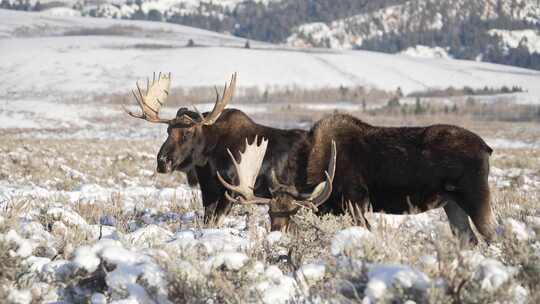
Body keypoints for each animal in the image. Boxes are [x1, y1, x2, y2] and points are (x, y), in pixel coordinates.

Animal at [124, 72, 306, 222]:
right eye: (168, 130)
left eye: (188, 132)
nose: (162, 162)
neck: (208, 159)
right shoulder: (208, 189)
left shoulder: (233, 188)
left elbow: (217, 220)